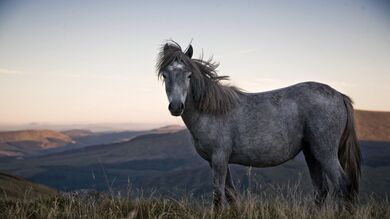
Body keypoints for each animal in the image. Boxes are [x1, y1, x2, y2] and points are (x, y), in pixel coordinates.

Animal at [155, 40, 362, 207]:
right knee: (321, 191)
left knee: (342, 185)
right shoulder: (216, 162)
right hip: (312, 153)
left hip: (325, 153)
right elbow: (230, 194)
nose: (176, 106)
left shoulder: (219, 159)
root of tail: (339, 96)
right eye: (165, 75)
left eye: (189, 75)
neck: (211, 111)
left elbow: (218, 197)